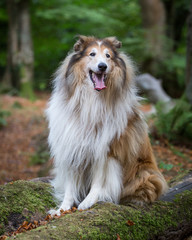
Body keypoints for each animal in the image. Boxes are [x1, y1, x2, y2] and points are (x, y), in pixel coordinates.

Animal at [45, 35, 167, 216]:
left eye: (108, 56)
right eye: (92, 54)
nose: (102, 66)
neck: (92, 100)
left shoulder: (107, 150)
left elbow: (99, 181)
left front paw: (89, 201)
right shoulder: (73, 146)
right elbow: (70, 185)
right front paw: (63, 208)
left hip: (146, 174)